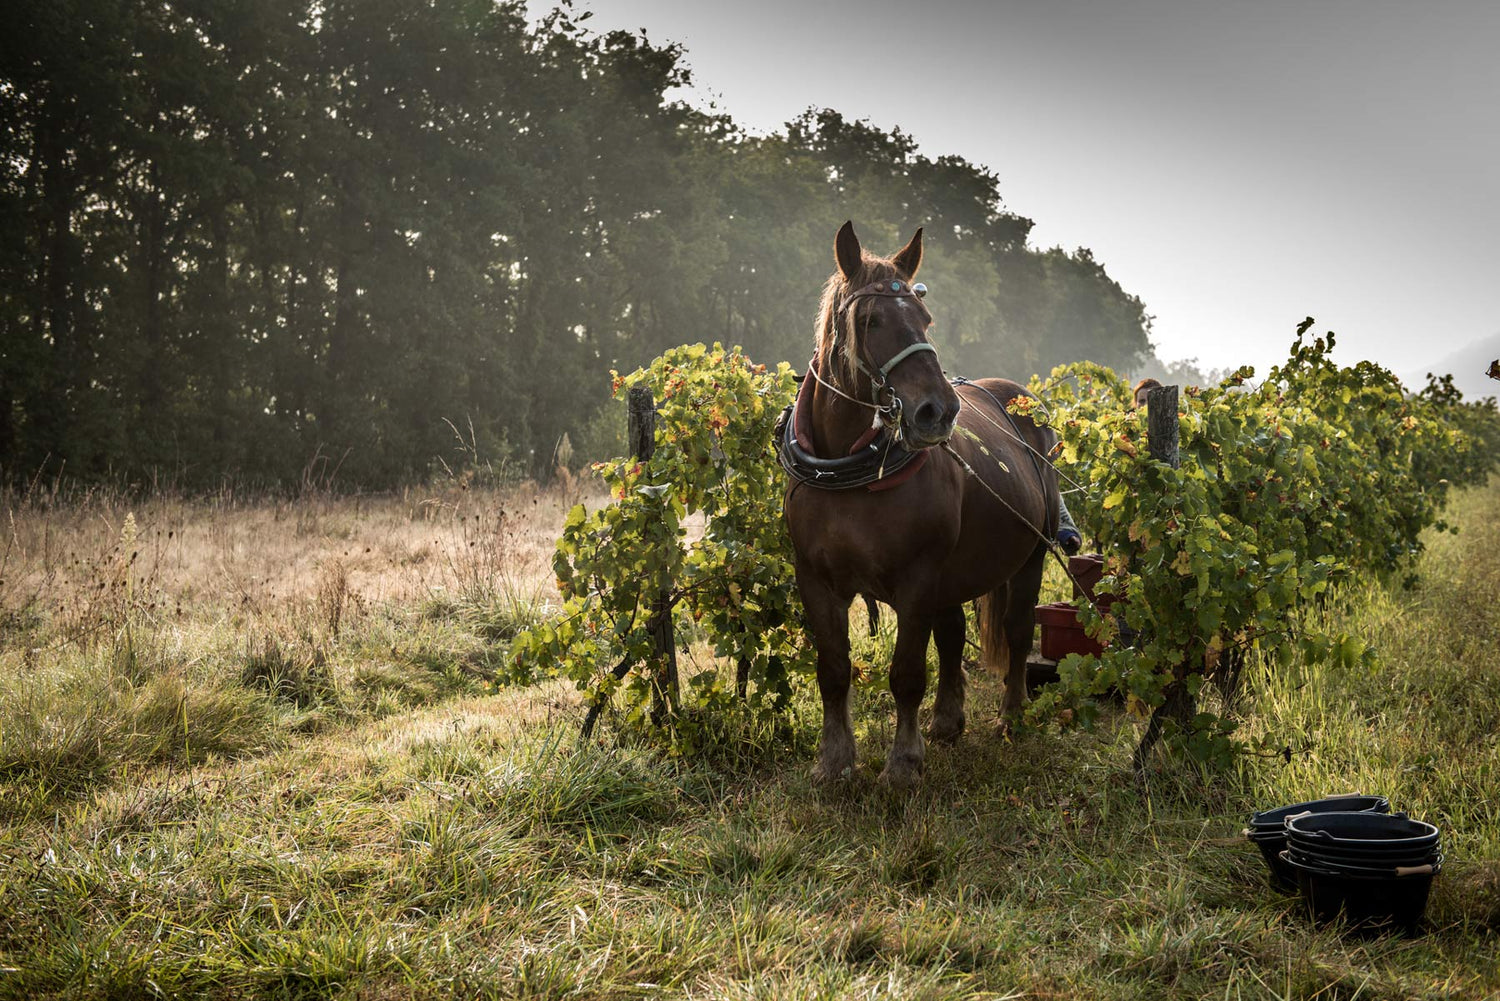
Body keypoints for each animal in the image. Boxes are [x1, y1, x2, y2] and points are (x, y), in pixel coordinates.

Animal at [780, 223, 1062, 786]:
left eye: (924, 319)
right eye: (871, 320)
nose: (939, 411)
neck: (847, 473)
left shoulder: (917, 579)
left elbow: (907, 673)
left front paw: (903, 764)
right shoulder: (815, 580)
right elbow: (833, 670)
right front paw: (834, 761)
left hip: (1030, 556)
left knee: (1018, 632)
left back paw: (1012, 716)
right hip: (954, 571)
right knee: (953, 635)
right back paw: (948, 722)